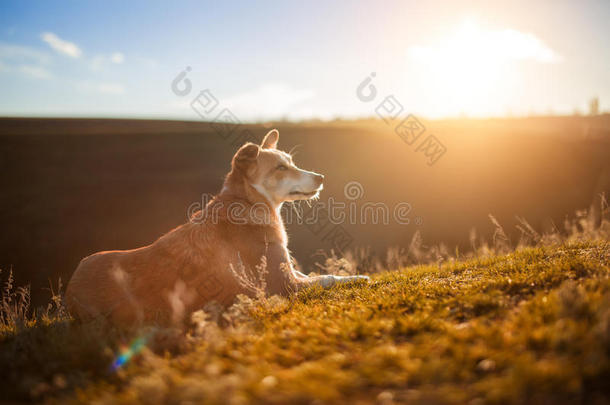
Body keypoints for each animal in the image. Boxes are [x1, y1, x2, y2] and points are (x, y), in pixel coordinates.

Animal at [66, 129, 366, 326]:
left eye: (291, 163)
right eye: (281, 168)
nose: (321, 177)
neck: (247, 202)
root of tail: (71, 286)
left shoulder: (290, 274)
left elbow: (316, 274)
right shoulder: (284, 286)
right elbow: (327, 278)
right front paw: (361, 278)